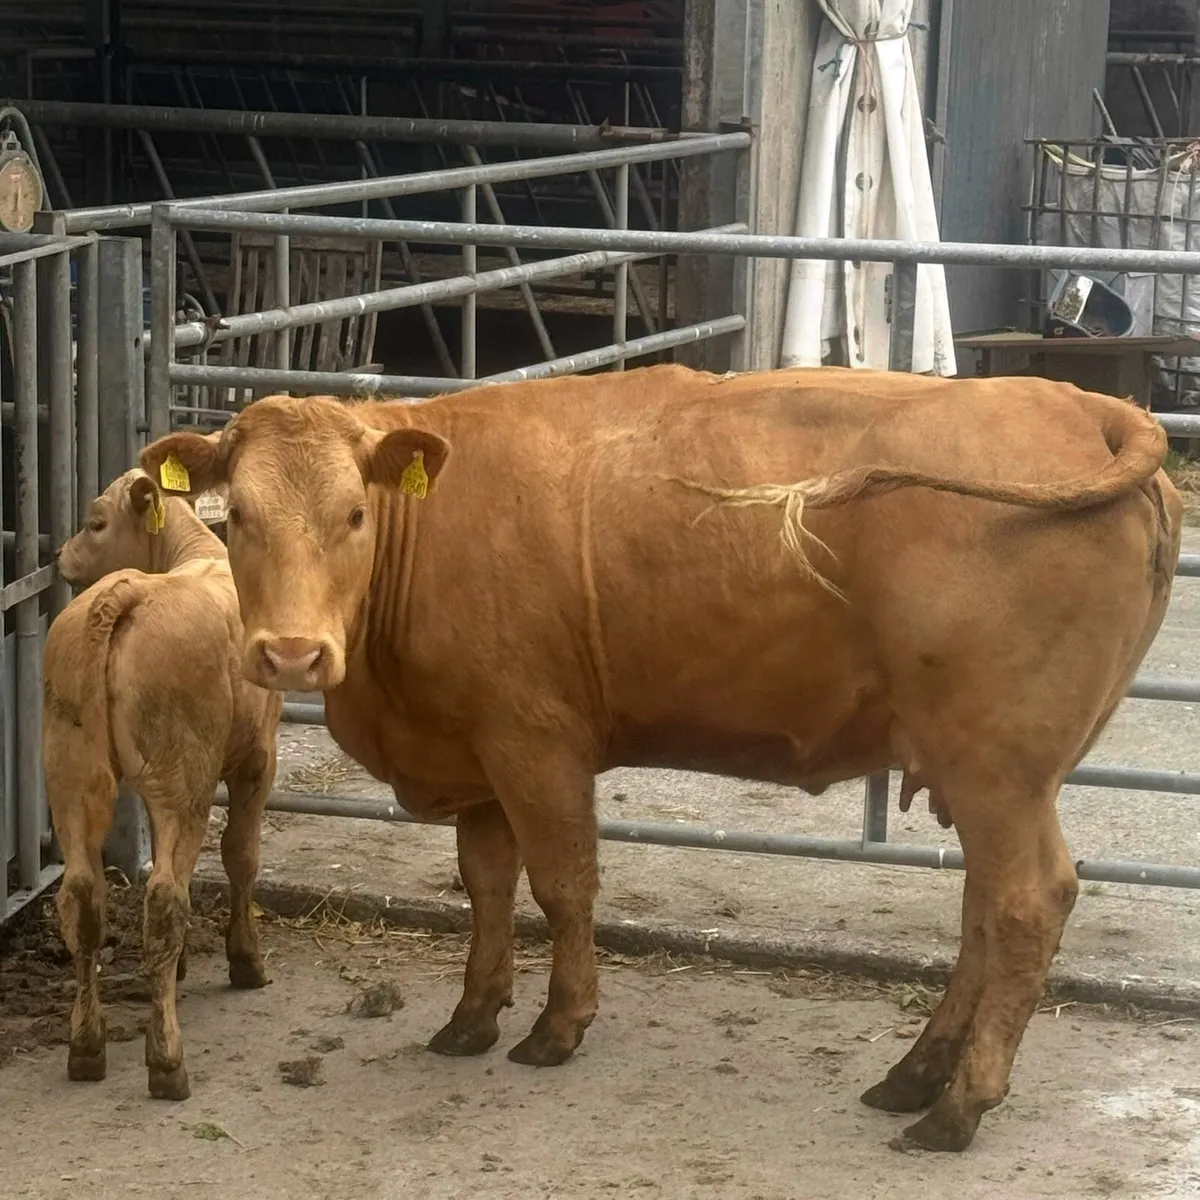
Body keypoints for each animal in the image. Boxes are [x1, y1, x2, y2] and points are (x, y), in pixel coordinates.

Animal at [45, 468, 283, 1101]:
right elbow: (241, 856)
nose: (60, 557)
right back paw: (167, 1061)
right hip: (185, 779)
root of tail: (127, 593)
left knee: (83, 897)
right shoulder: (257, 758)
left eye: (95, 522)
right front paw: (245, 961)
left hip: (73, 775)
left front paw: (172, 973)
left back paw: (87, 1047)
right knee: (164, 900)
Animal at [139, 363, 1180, 1152]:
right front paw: (472, 1018)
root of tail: (1081, 403)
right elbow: (486, 886)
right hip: (987, 773)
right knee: (984, 913)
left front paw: (558, 1027)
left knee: (1026, 905)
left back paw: (958, 1108)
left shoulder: (535, 740)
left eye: (355, 514)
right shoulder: (475, 752)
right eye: (238, 517)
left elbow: (563, 886)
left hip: (1002, 770)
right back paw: (917, 1075)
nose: (289, 654)